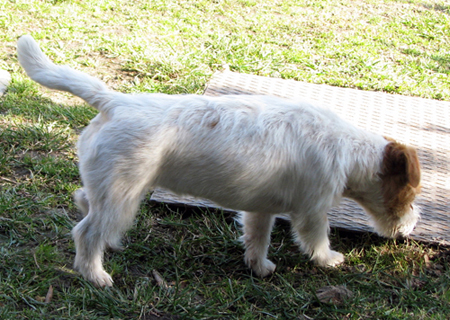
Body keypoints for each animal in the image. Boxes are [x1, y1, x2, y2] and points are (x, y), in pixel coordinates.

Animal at [15, 35, 420, 288]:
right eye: (411, 194)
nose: (412, 227)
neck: (349, 150)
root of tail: (114, 102)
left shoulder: (262, 210)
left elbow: (257, 239)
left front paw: (259, 267)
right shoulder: (312, 212)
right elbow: (317, 240)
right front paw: (328, 259)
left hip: (116, 191)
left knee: (85, 202)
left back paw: (109, 242)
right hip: (121, 194)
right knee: (85, 232)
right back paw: (96, 276)